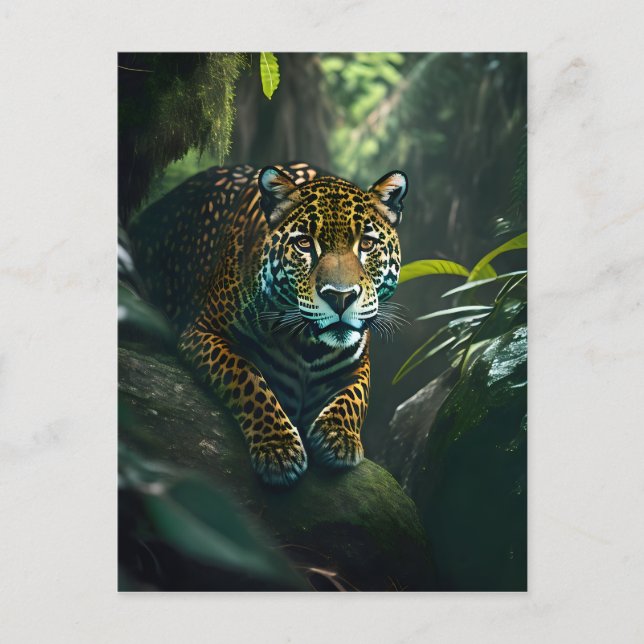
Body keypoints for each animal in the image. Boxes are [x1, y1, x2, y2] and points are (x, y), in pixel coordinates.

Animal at [128, 161, 407, 486]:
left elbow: (355, 397)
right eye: (304, 244)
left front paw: (339, 437)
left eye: (366, 244)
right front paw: (279, 449)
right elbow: (247, 376)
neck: (307, 345)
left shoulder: (359, 362)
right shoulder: (204, 331)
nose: (341, 297)